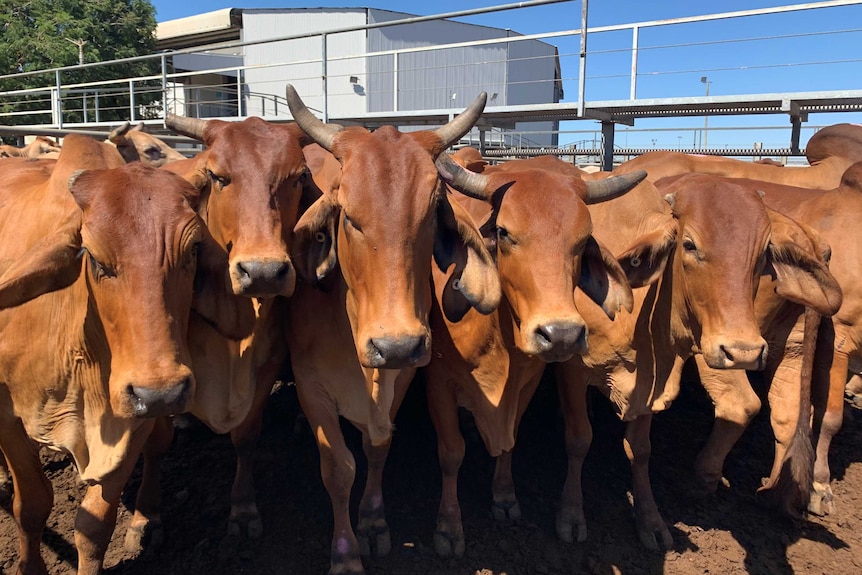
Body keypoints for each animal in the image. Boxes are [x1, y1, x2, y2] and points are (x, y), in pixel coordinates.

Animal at [0, 134, 253, 575]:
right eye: (93, 256)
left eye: (193, 250)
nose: (164, 393)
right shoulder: (7, 414)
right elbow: (31, 505)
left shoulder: (130, 416)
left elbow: (94, 526)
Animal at [284, 85, 500, 575]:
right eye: (348, 216)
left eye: (432, 212)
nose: (396, 345)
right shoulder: (311, 388)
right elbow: (339, 469)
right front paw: (346, 553)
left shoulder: (403, 378)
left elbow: (376, 448)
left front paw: (373, 522)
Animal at [425, 153, 645, 557]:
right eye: (504, 233)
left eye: (582, 241)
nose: (561, 335)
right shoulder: (438, 384)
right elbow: (451, 454)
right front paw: (449, 526)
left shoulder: (527, 382)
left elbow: (511, 439)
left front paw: (504, 496)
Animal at [552, 169, 841, 548]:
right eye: (688, 245)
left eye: (764, 253)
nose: (744, 349)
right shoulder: (572, 368)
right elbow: (578, 440)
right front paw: (571, 514)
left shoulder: (654, 381)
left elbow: (640, 449)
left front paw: (650, 519)